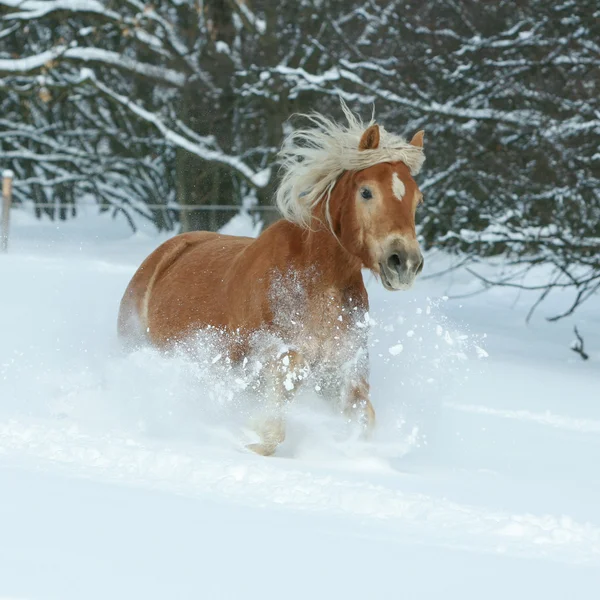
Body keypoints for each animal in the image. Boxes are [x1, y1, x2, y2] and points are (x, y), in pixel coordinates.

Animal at [118, 103, 426, 458]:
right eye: (367, 192)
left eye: (417, 199)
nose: (404, 262)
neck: (317, 282)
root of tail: (166, 251)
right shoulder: (265, 357)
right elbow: (285, 391)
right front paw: (254, 437)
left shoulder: (341, 374)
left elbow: (364, 419)